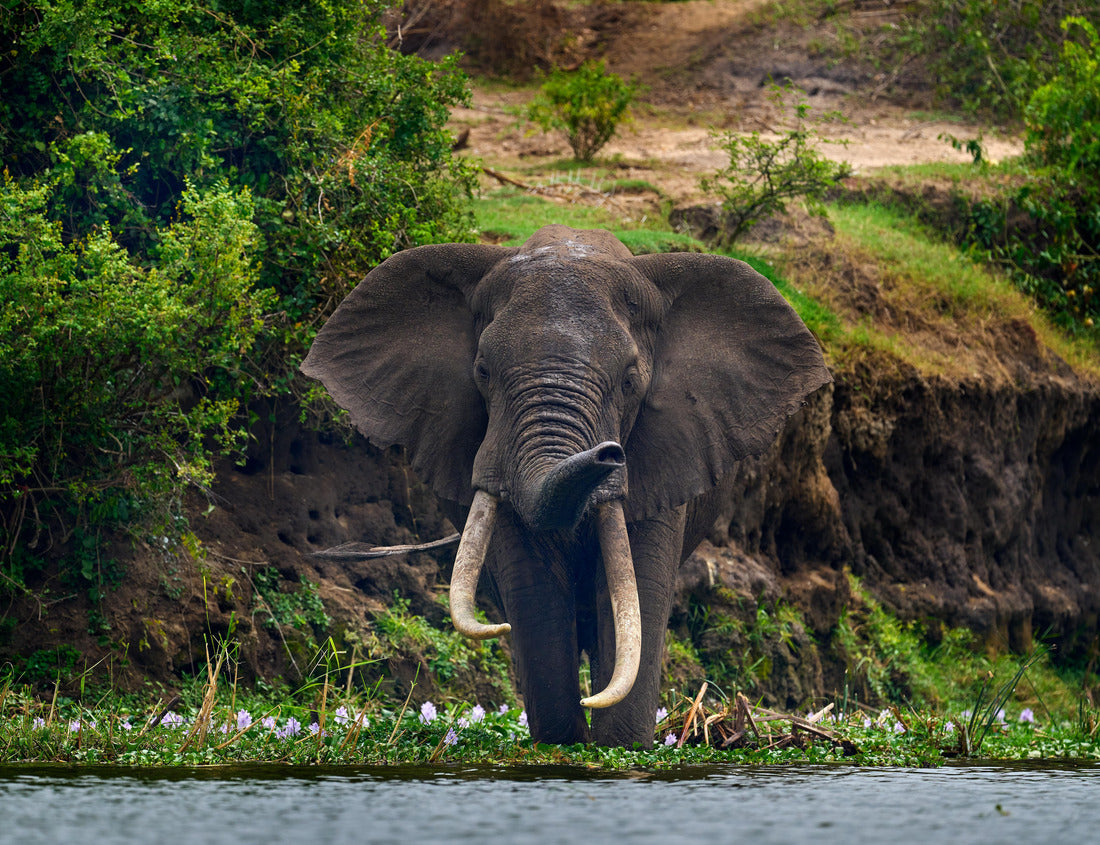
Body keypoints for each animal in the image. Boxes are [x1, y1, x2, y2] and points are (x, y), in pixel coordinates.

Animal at [301, 224, 831, 748]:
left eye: (629, 381)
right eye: (483, 371)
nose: (610, 453)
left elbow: (636, 586)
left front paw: (619, 747)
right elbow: (534, 584)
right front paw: (563, 744)